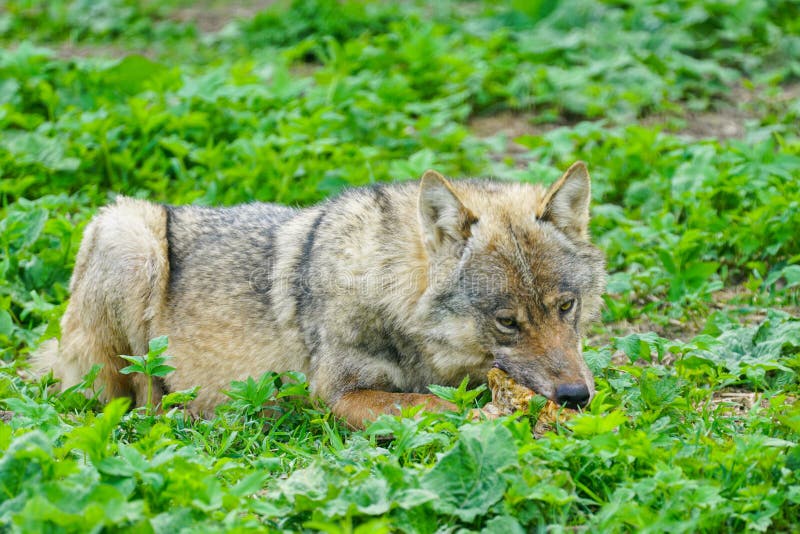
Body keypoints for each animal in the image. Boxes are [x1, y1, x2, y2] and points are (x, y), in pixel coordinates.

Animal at [35, 162, 606, 428]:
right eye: (507, 321)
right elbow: (432, 404)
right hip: (130, 238)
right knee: (137, 402)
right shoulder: (338, 396)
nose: (576, 397)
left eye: (566, 307)